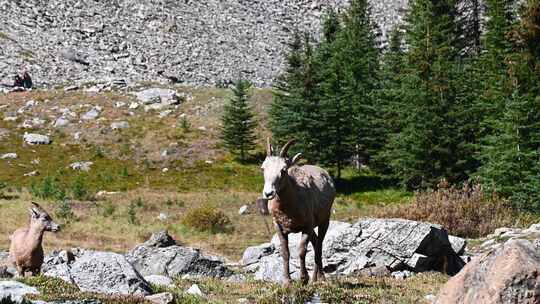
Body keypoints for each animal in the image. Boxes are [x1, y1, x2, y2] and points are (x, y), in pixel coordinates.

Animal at [260, 139, 336, 286]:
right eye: (263, 168)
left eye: (283, 170)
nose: (268, 193)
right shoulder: (279, 227)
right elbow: (285, 252)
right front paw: (287, 282)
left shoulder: (306, 227)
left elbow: (301, 251)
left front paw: (303, 279)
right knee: (316, 243)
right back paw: (314, 279)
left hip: (325, 221)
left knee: (319, 246)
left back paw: (320, 279)